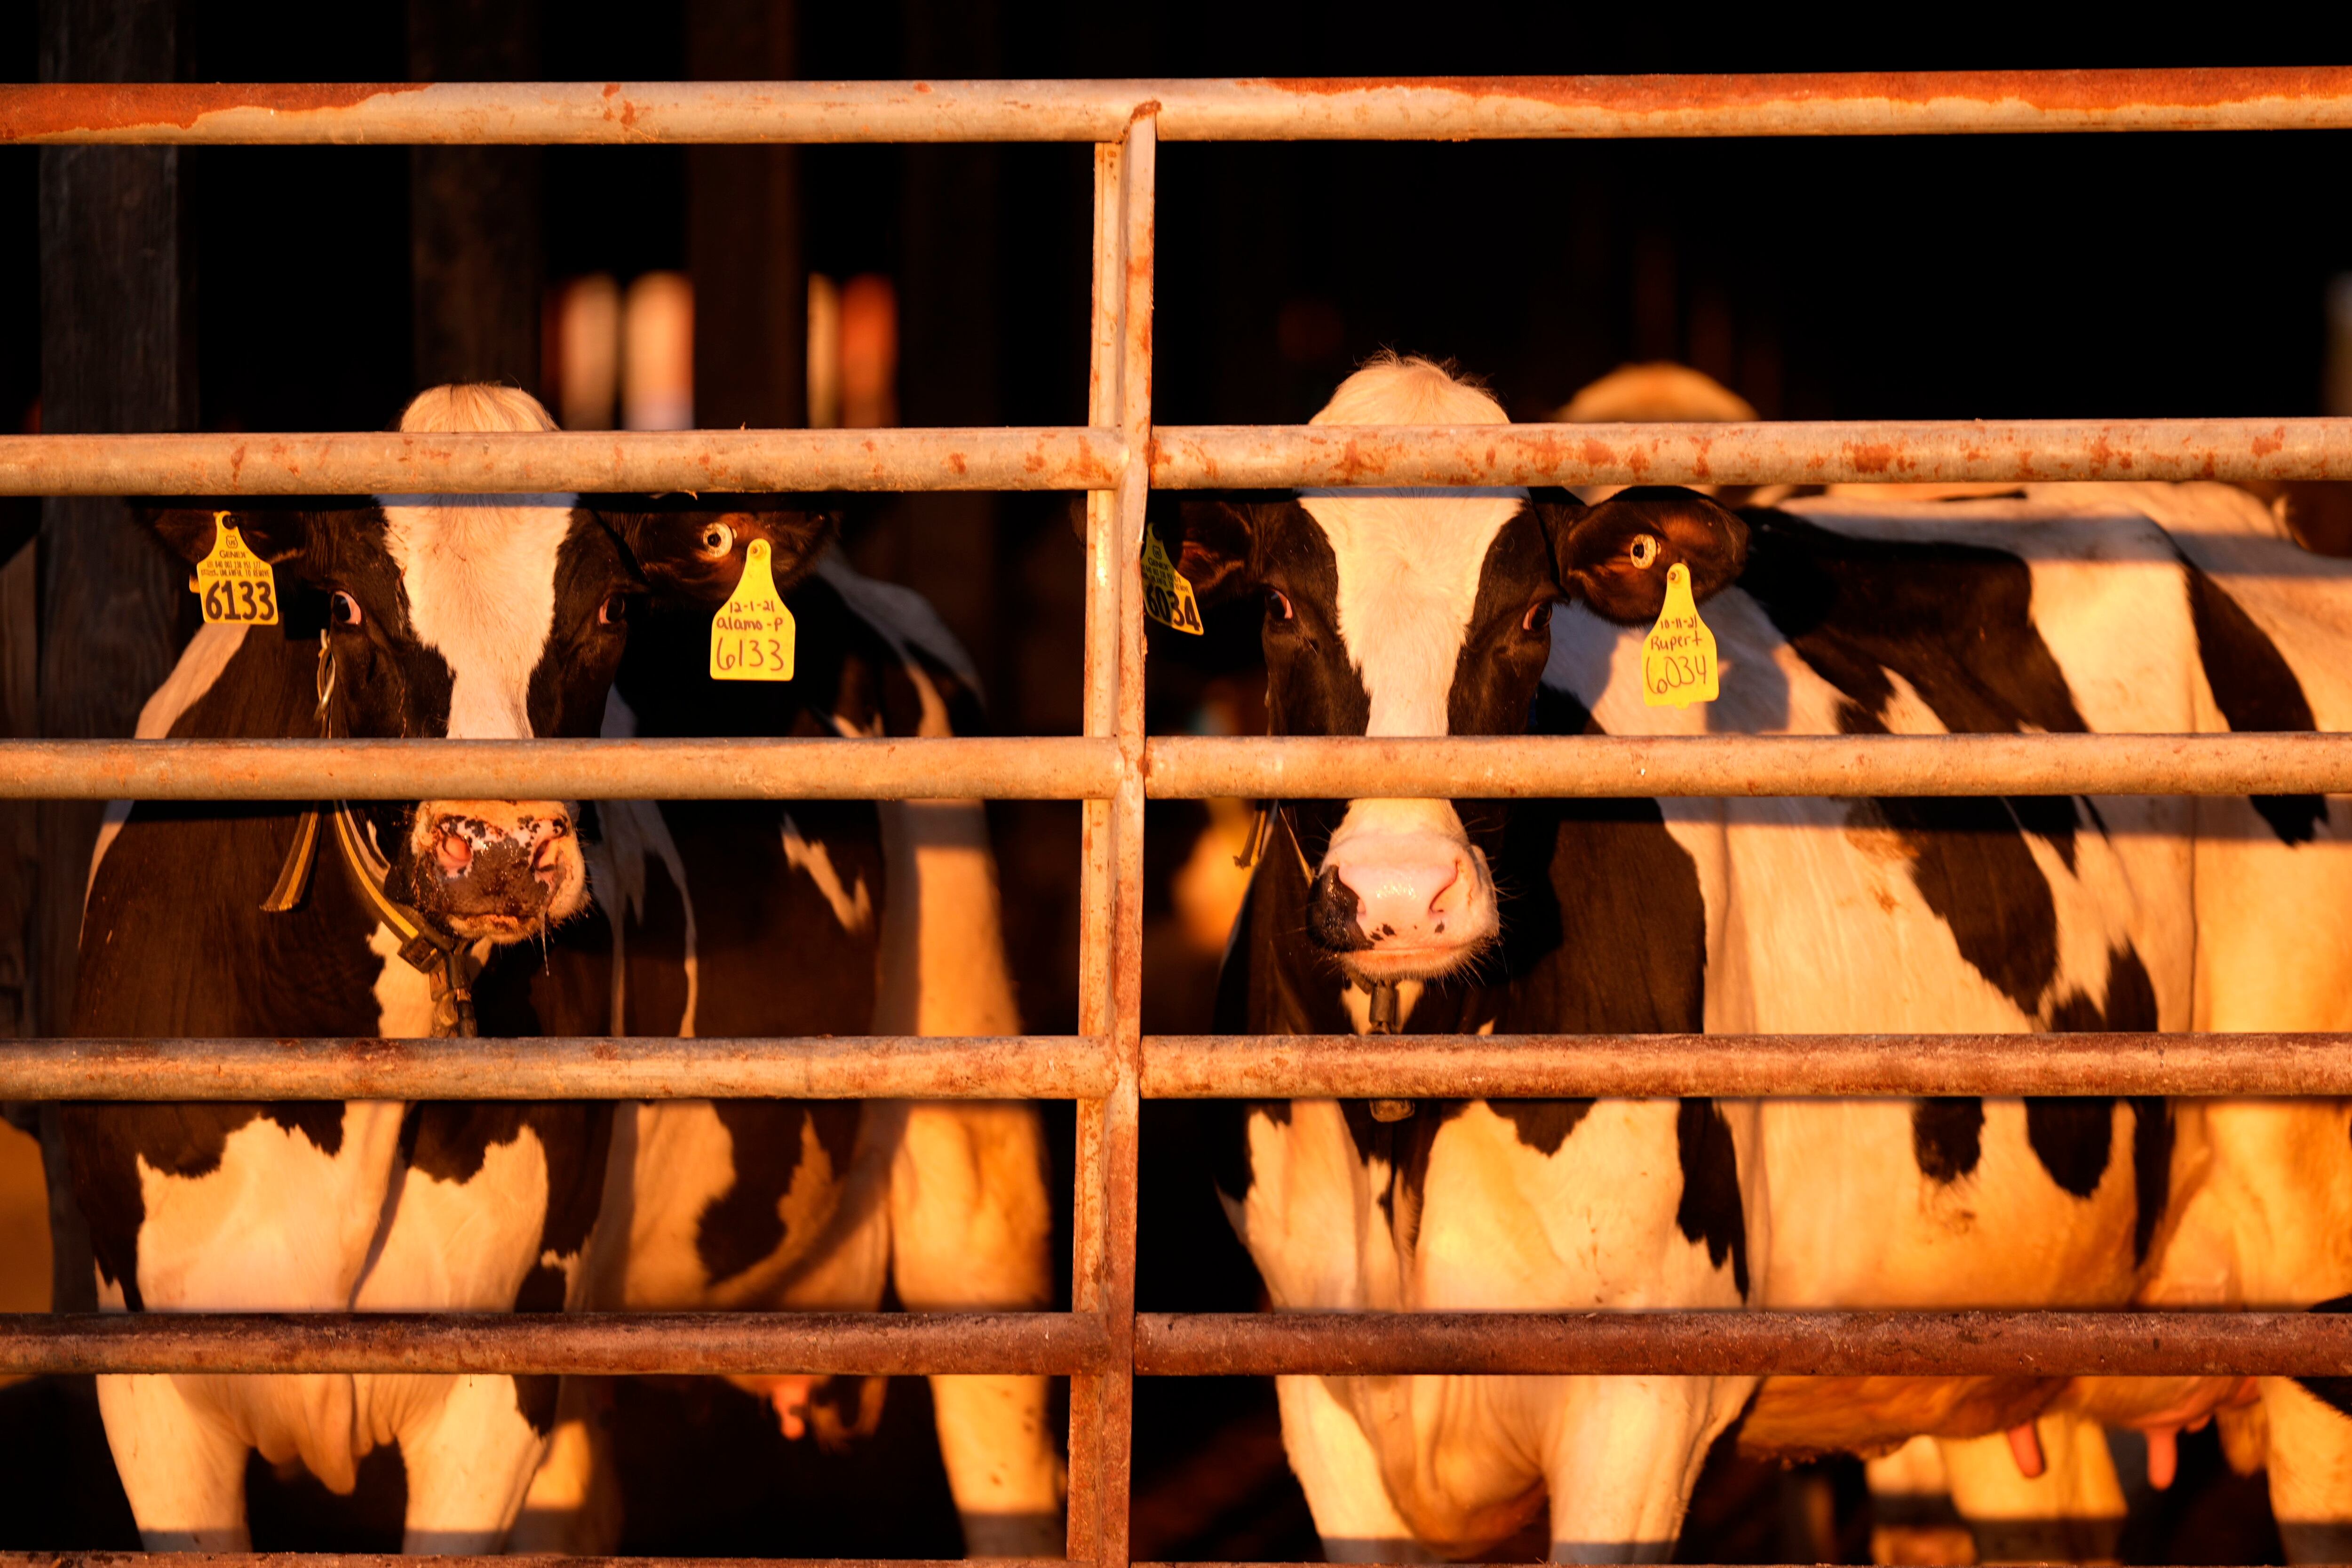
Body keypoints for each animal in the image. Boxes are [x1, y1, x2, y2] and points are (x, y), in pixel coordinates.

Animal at [1167, 359, 2352, 1568]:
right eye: (1279, 609)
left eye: (1531, 617)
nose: (1405, 894)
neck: (1401, 1123)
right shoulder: (1325, 1403)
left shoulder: (1637, 1401)